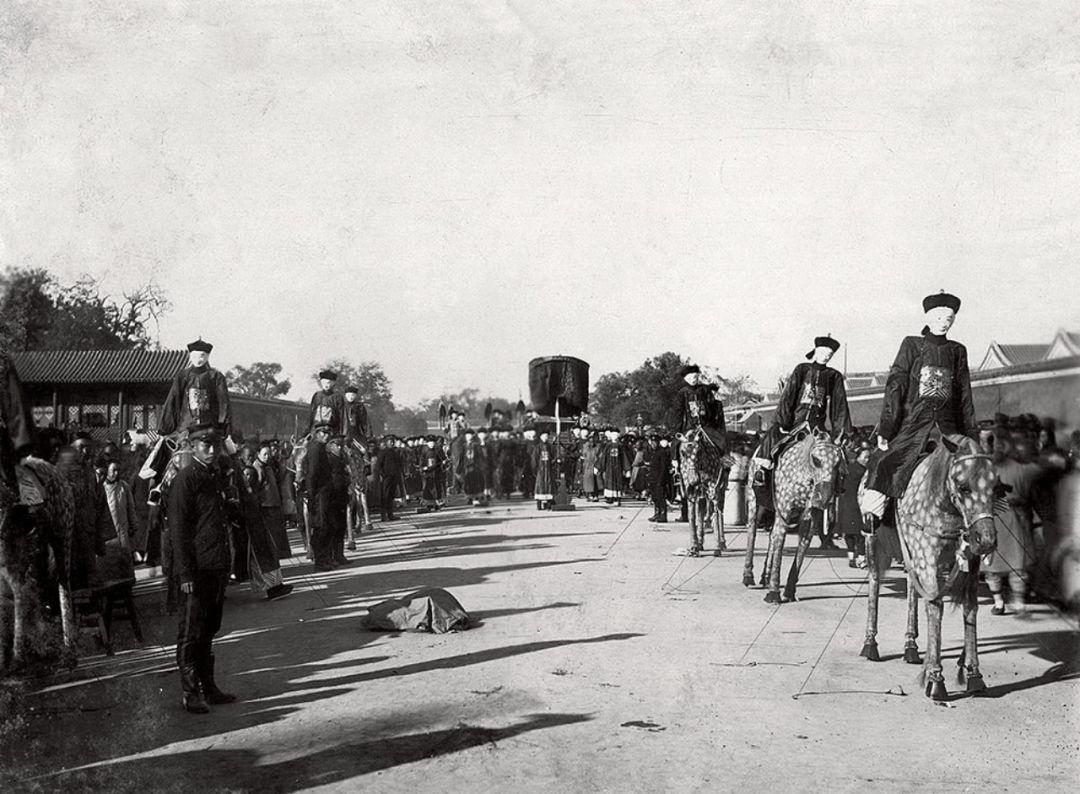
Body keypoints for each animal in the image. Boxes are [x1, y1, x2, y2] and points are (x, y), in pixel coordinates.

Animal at [677, 428, 732, 557]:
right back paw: (700, 542)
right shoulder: (691, 492)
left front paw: (717, 547)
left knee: (719, 511)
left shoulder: (714, 489)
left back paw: (722, 542)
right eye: (682, 452)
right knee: (702, 511)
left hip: (721, 490)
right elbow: (693, 516)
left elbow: (715, 515)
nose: (693, 479)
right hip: (702, 493)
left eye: (699, 451)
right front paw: (694, 547)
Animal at [760, 428, 845, 603]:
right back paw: (749, 576)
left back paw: (765, 575)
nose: (823, 498)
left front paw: (789, 591)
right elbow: (780, 541)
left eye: (838, 462)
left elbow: (803, 544)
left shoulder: (811, 515)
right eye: (816, 459)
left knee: (772, 535)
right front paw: (773, 592)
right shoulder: (784, 508)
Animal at [859, 434, 997, 700]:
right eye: (963, 487)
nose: (986, 540)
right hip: (873, 542)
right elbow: (935, 606)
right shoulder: (927, 558)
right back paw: (870, 643)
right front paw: (935, 680)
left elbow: (970, 608)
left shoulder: (969, 565)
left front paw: (974, 675)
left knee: (912, 587)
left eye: (995, 487)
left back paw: (910, 646)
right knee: (874, 581)